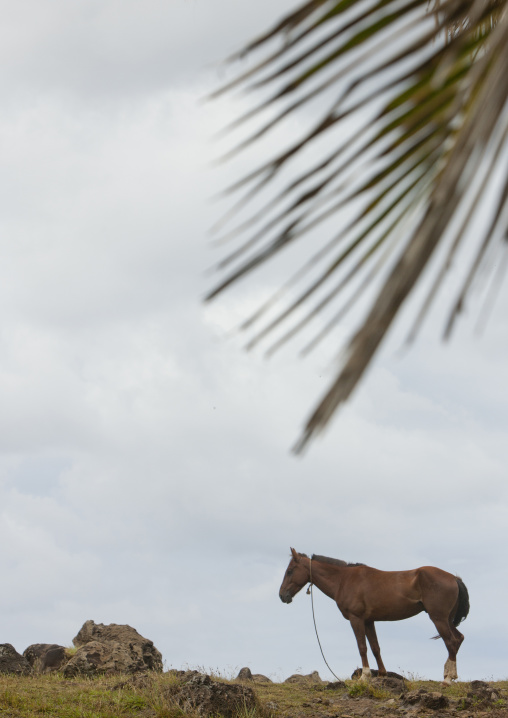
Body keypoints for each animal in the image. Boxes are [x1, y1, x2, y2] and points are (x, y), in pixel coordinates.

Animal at [279, 548, 469, 684]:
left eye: (290, 571)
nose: (282, 596)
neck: (344, 580)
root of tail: (454, 578)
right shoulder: (369, 621)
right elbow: (375, 647)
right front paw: (382, 674)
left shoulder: (356, 619)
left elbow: (362, 646)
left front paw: (364, 676)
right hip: (447, 619)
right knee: (459, 639)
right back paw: (450, 674)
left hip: (438, 619)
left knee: (451, 642)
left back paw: (447, 679)